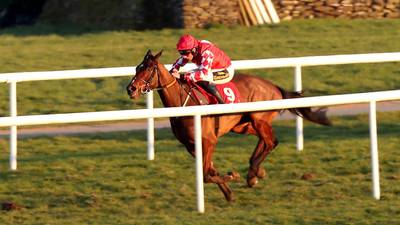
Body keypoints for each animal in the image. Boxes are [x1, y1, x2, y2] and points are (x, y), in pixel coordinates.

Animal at [126, 50, 332, 201]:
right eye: (137, 68)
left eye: (148, 69)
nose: (131, 88)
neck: (183, 103)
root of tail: (274, 87)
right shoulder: (191, 146)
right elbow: (209, 170)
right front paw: (229, 193)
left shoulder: (208, 140)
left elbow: (206, 174)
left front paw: (232, 176)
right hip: (244, 125)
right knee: (265, 140)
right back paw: (255, 172)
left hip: (259, 119)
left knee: (271, 141)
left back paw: (253, 173)